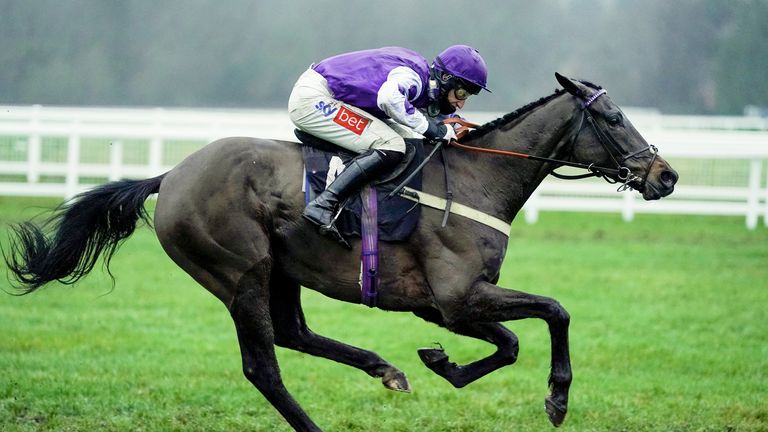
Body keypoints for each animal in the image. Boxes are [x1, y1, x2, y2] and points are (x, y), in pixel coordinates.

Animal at [4, 74, 680, 428]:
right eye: (614, 119)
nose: (667, 176)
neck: (477, 178)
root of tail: (170, 175)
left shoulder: (442, 306)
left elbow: (509, 343)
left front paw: (440, 363)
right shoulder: (459, 298)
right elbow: (556, 311)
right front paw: (558, 398)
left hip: (280, 269)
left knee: (293, 333)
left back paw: (386, 368)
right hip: (238, 270)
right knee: (264, 365)